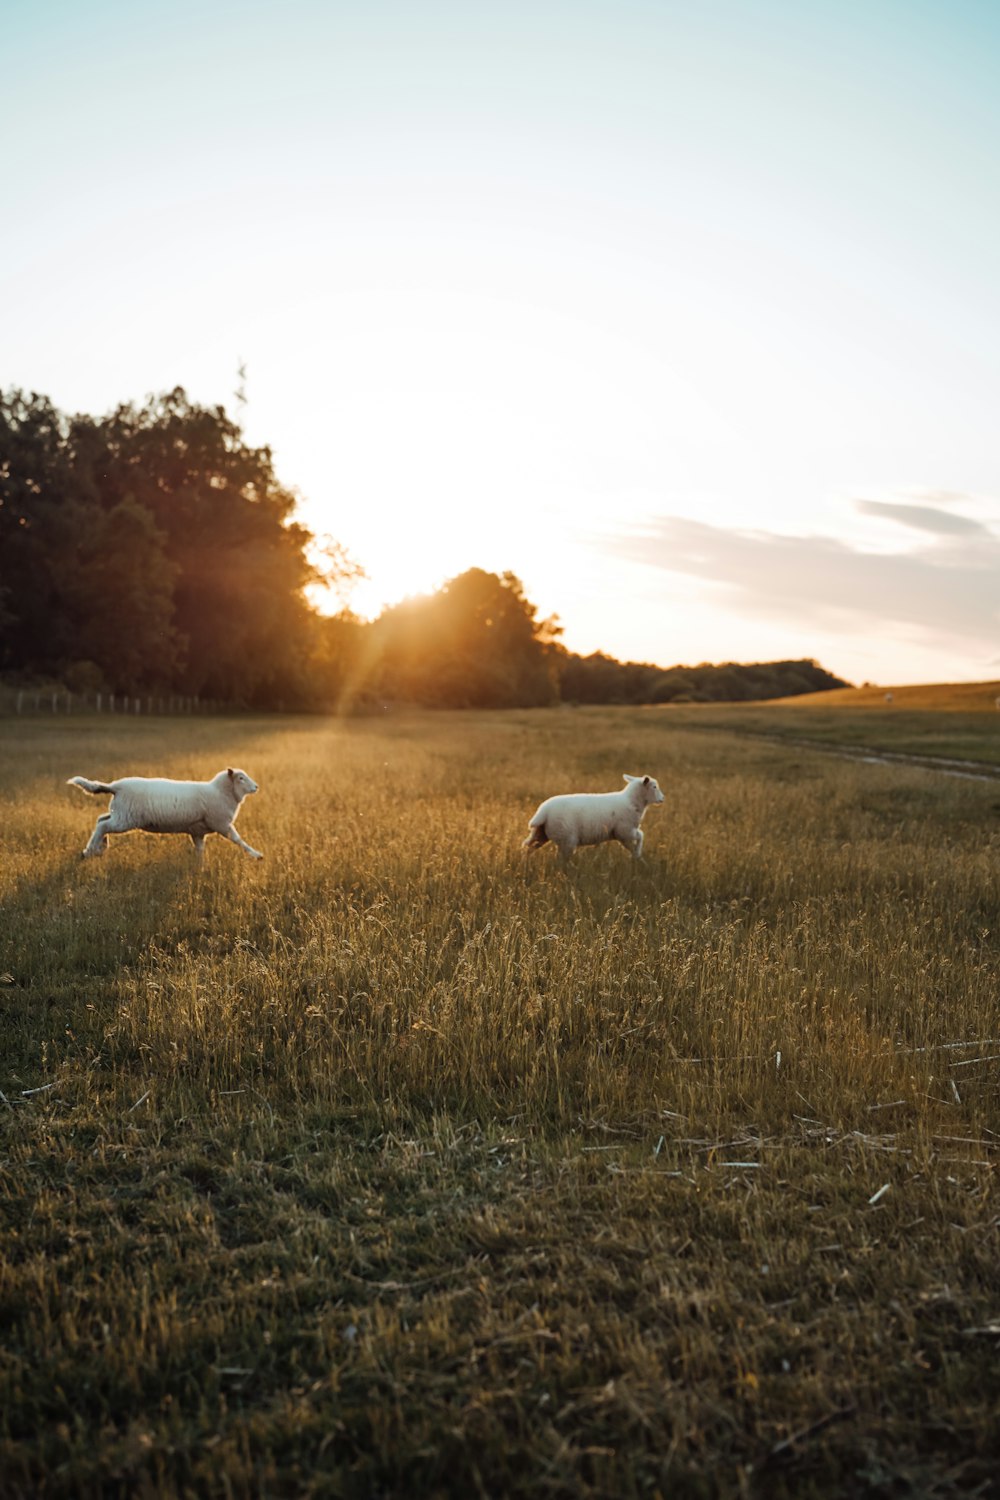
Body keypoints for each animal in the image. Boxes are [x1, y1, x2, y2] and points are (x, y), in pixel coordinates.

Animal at [67, 774, 262, 858]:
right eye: (241, 778)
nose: (256, 787)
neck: (220, 792)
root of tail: (115, 786)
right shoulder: (222, 824)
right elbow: (238, 840)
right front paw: (256, 855)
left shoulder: (198, 832)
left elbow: (200, 850)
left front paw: (199, 868)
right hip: (125, 818)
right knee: (103, 825)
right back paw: (90, 850)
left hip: (120, 813)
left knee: (101, 819)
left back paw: (99, 848)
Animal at [524, 768, 665, 864]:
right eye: (654, 787)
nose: (663, 798)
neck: (632, 801)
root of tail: (543, 811)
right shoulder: (625, 831)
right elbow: (641, 835)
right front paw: (639, 855)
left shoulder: (623, 834)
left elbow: (636, 843)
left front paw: (637, 858)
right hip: (566, 839)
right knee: (560, 860)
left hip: (541, 833)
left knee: (529, 847)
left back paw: (527, 863)